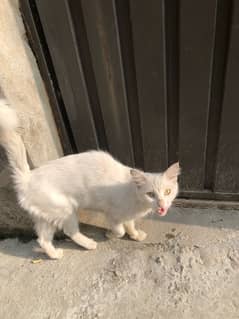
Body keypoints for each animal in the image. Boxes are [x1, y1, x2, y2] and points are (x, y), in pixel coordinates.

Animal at [0, 100, 179, 260]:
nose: (162, 205)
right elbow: (120, 230)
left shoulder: (128, 215)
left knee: (42, 240)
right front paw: (110, 235)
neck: (134, 195)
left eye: (168, 191)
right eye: (151, 194)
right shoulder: (112, 214)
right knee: (69, 231)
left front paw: (134, 235)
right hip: (65, 210)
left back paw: (55, 255)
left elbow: (130, 225)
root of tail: (28, 177)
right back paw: (88, 244)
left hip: (46, 216)